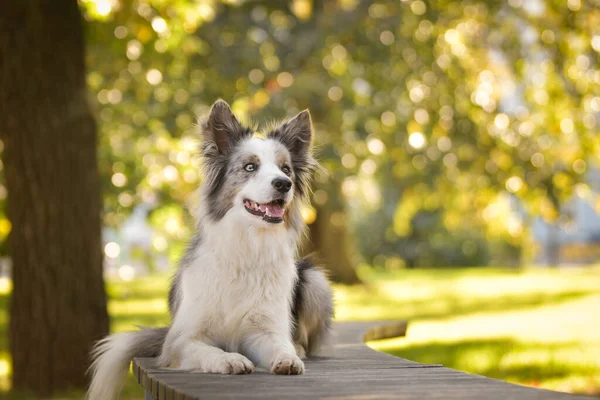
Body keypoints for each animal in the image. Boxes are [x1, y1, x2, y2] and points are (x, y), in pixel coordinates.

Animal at [86, 100, 336, 400]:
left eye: (286, 169)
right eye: (250, 167)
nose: (283, 184)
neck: (245, 248)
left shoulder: (262, 329)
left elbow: (278, 344)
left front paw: (287, 357)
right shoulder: (181, 340)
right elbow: (208, 350)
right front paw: (230, 359)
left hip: (315, 280)